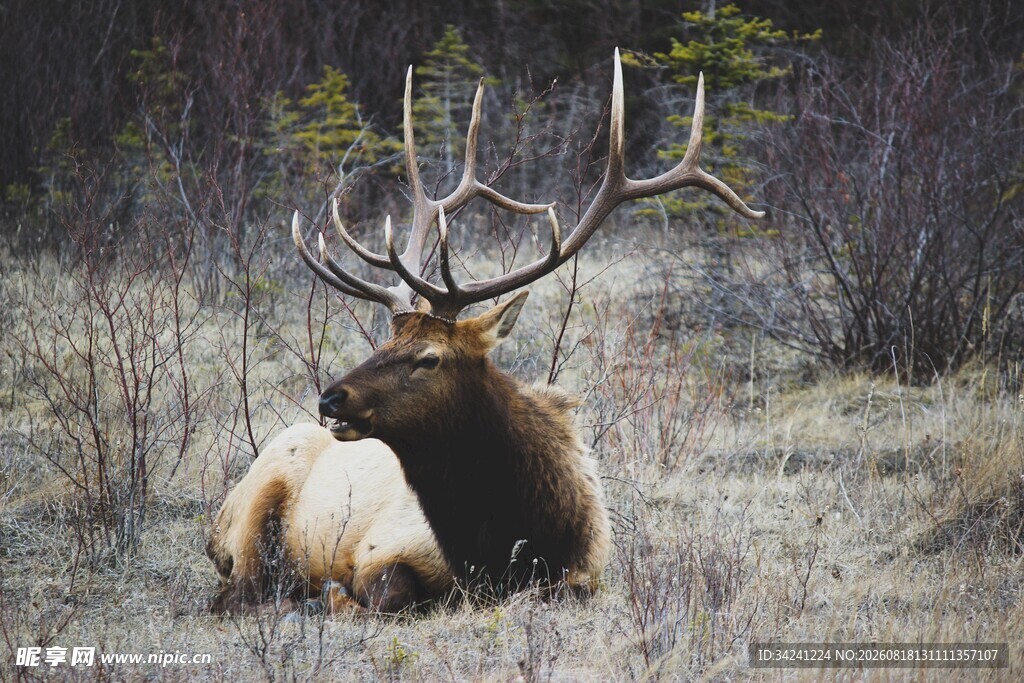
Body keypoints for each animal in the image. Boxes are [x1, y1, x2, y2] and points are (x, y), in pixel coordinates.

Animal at [209, 49, 762, 614]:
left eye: (429, 357)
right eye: (386, 342)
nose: (330, 399)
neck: (505, 542)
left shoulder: (585, 573)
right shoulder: (380, 547)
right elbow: (384, 593)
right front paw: (331, 592)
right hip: (253, 512)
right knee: (238, 591)